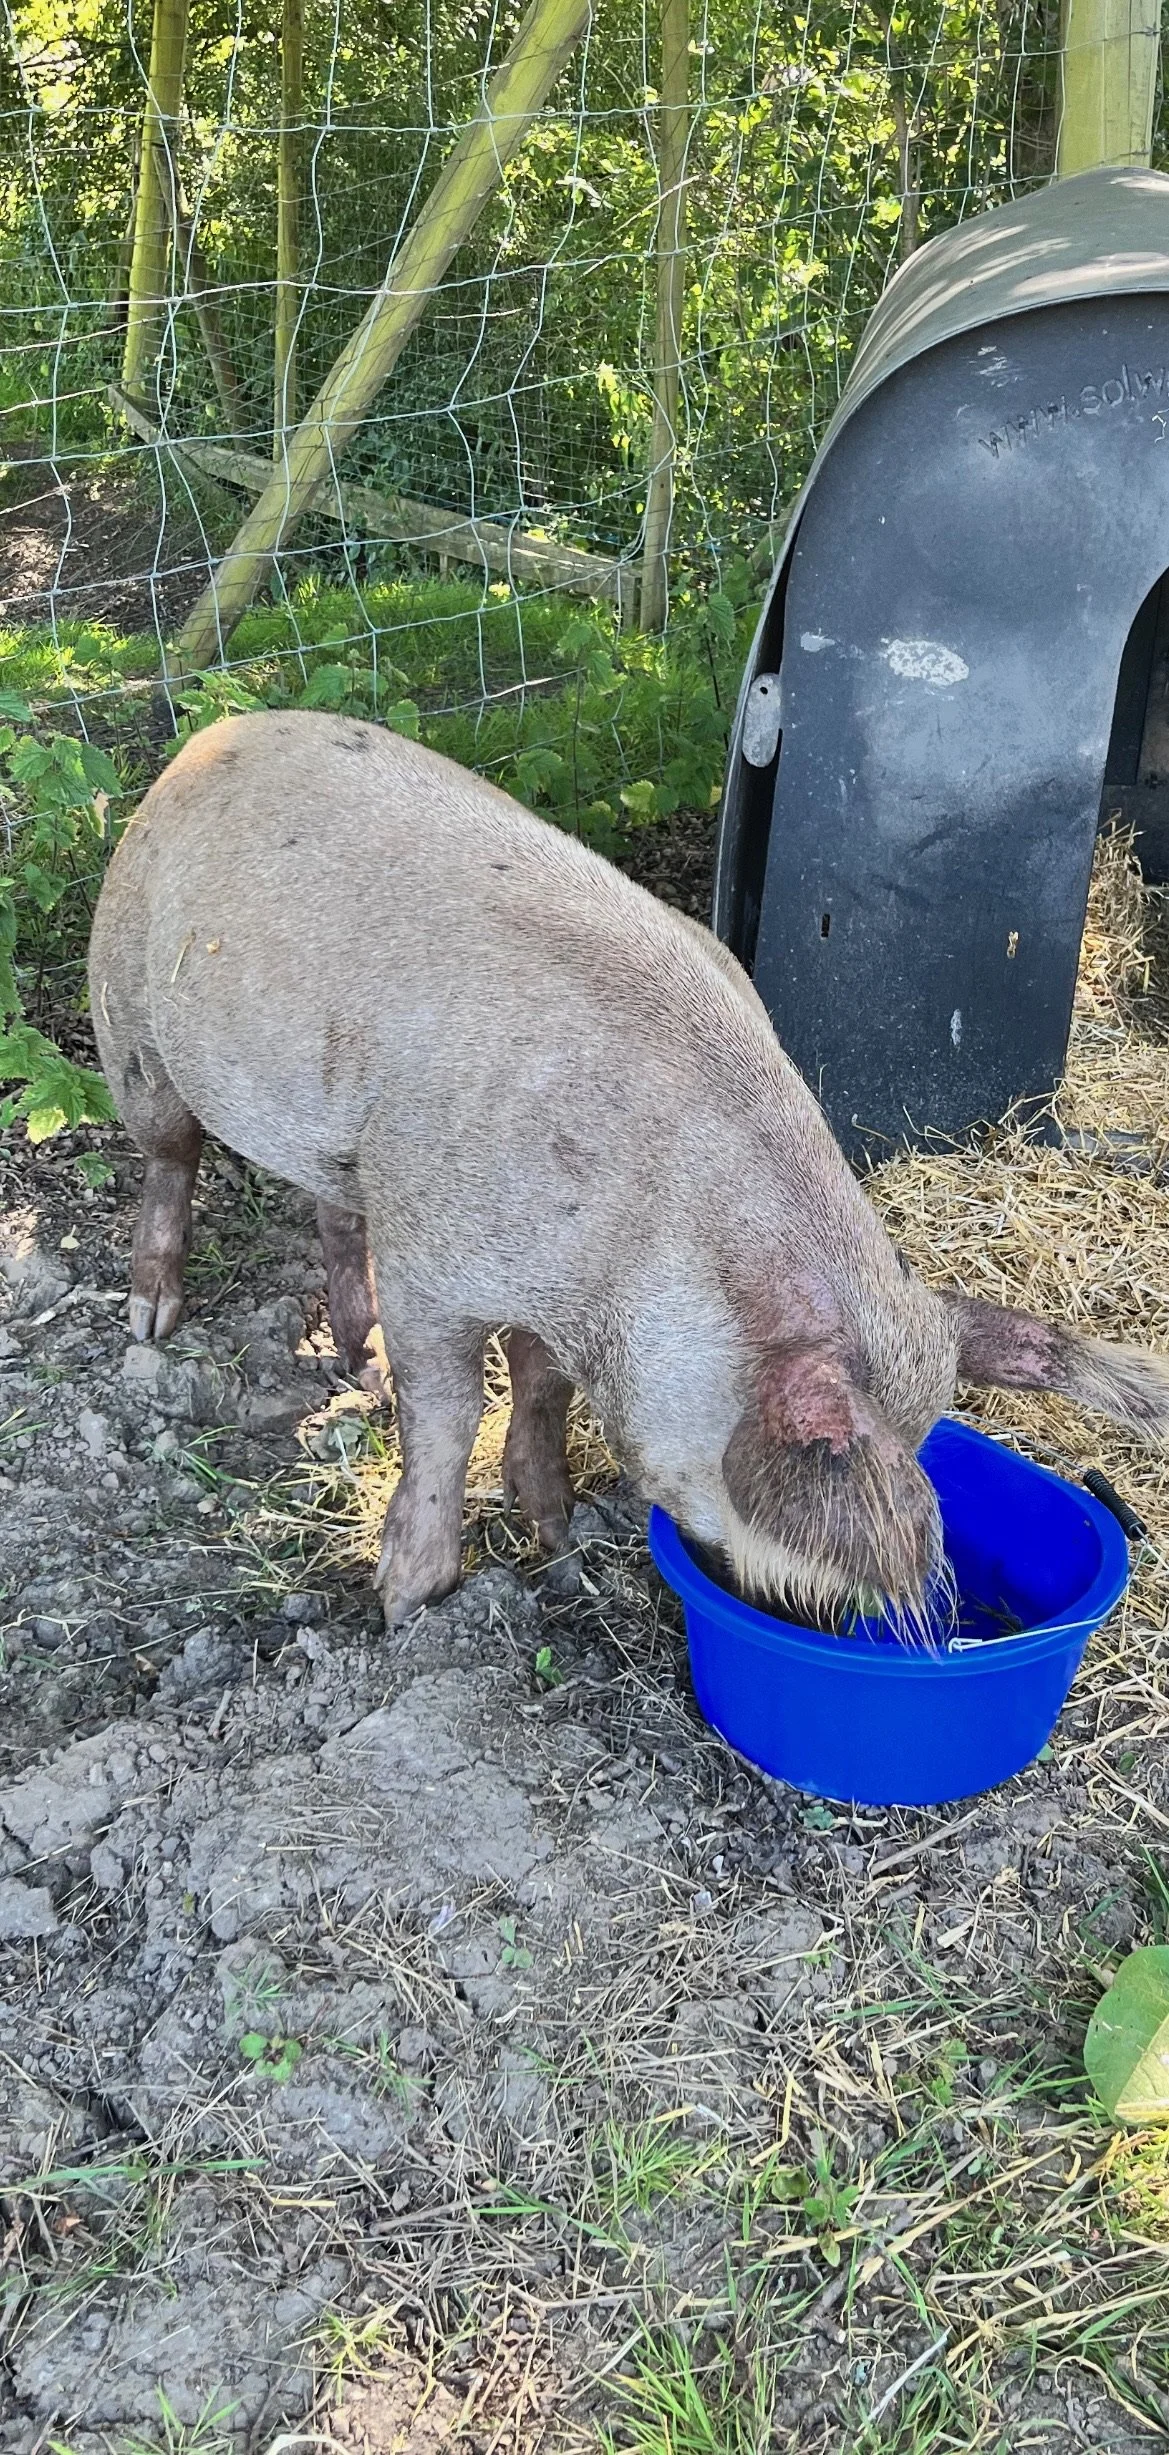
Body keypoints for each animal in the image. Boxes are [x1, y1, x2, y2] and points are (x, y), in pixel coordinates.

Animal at [88, 711, 1169, 1628]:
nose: (795, 1610)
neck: (636, 1249)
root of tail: (217, 732)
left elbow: (539, 1389)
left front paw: (553, 1529)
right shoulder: (431, 1257)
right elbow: (448, 1412)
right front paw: (407, 1601)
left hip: (338, 1137)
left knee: (329, 1209)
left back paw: (358, 1362)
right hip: (129, 1009)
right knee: (169, 1157)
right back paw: (153, 1320)